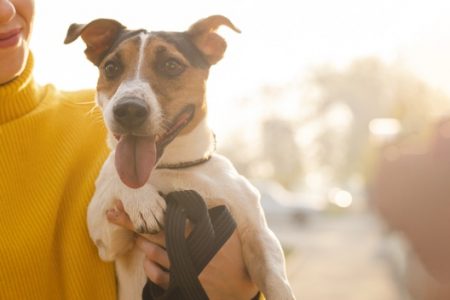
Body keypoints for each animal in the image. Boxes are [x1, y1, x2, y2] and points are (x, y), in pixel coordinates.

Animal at [64, 15, 296, 298]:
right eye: (111, 67)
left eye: (171, 65)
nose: (128, 109)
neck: (174, 167)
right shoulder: (105, 238)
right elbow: (117, 180)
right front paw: (141, 200)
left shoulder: (259, 235)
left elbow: (276, 282)